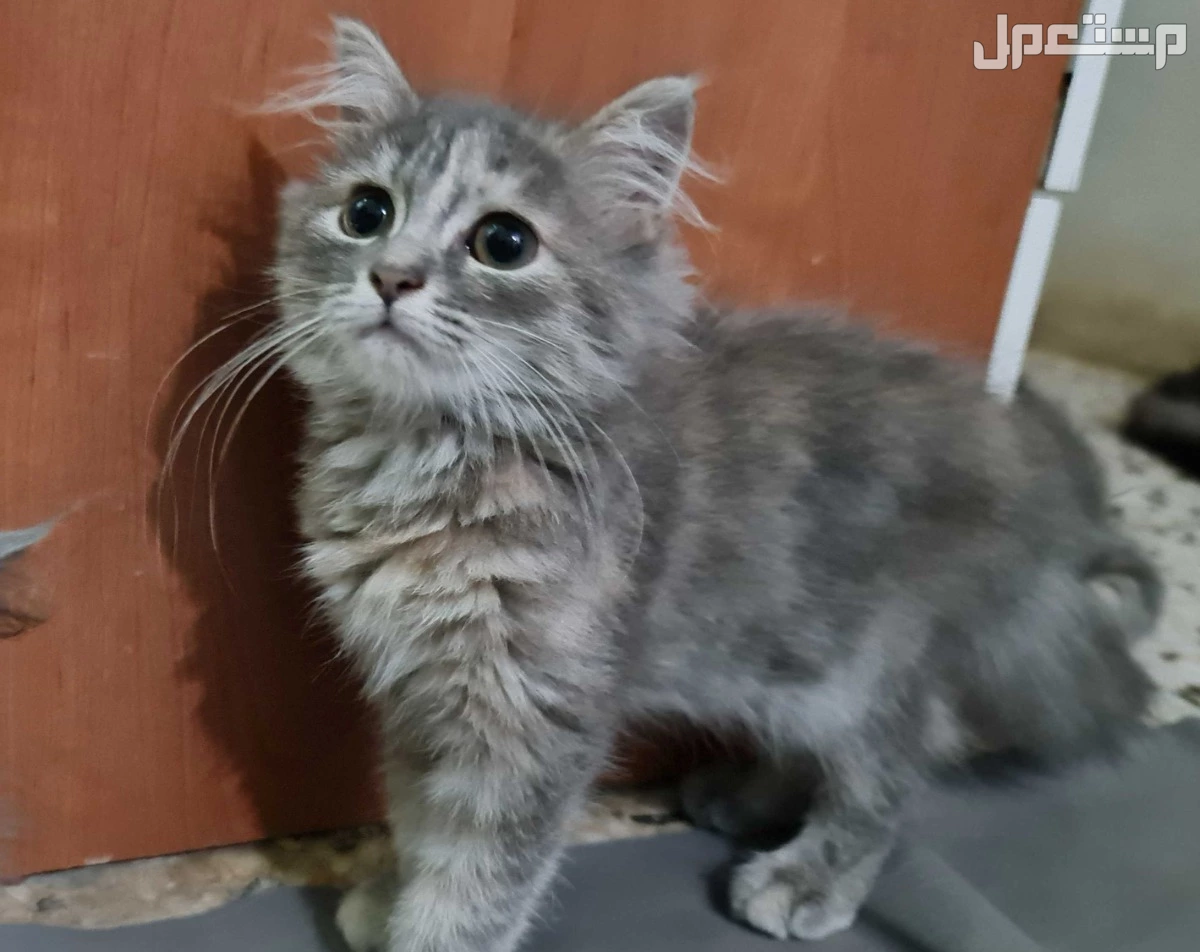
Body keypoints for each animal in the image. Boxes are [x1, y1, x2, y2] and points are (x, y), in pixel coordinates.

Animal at [264, 19, 1160, 951]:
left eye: (503, 243)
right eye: (367, 213)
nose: (392, 275)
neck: (428, 460)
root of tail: (1034, 471)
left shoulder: (536, 713)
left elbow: (479, 876)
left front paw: (427, 931)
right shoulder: (419, 696)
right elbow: (417, 819)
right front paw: (393, 895)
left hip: (871, 664)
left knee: (893, 765)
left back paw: (810, 875)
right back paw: (745, 795)